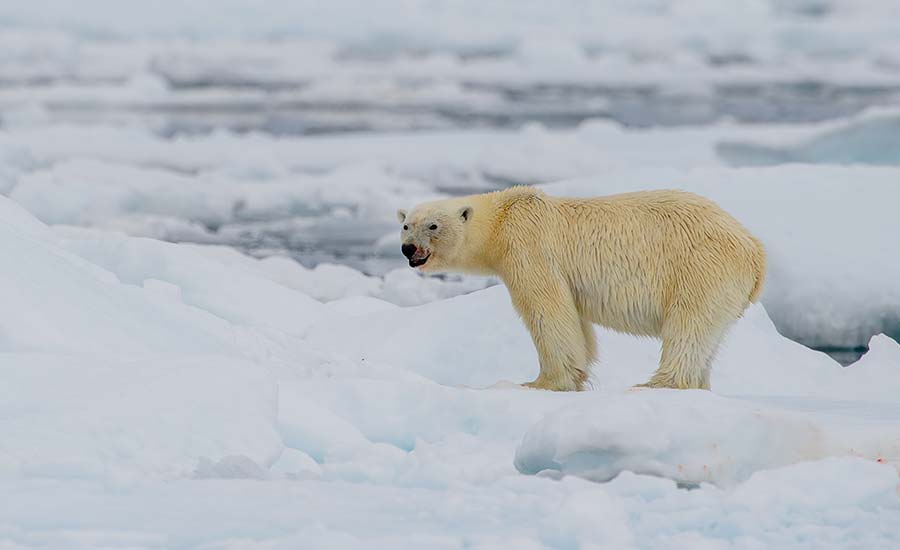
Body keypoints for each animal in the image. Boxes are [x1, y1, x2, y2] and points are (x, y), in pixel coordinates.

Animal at [400, 188, 768, 394]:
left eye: (433, 225)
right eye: (405, 225)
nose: (408, 249)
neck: (502, 220)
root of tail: (755, 251)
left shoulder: (529, 248)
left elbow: (547, 310)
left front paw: (541, 383)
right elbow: (576, 323)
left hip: (700, 269)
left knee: (688, 327)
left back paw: (655, 384)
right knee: (707, 337)